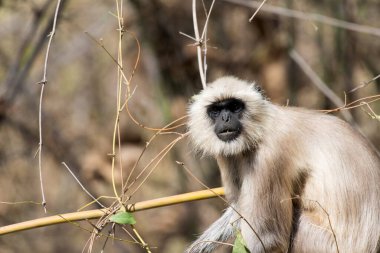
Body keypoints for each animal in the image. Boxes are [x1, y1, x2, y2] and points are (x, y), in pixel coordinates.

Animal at [187, 76, 380, 252]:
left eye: (235, 107)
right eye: (216, 111)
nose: (225, 118)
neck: (261, 127)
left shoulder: (268, 156)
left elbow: (265, 239)